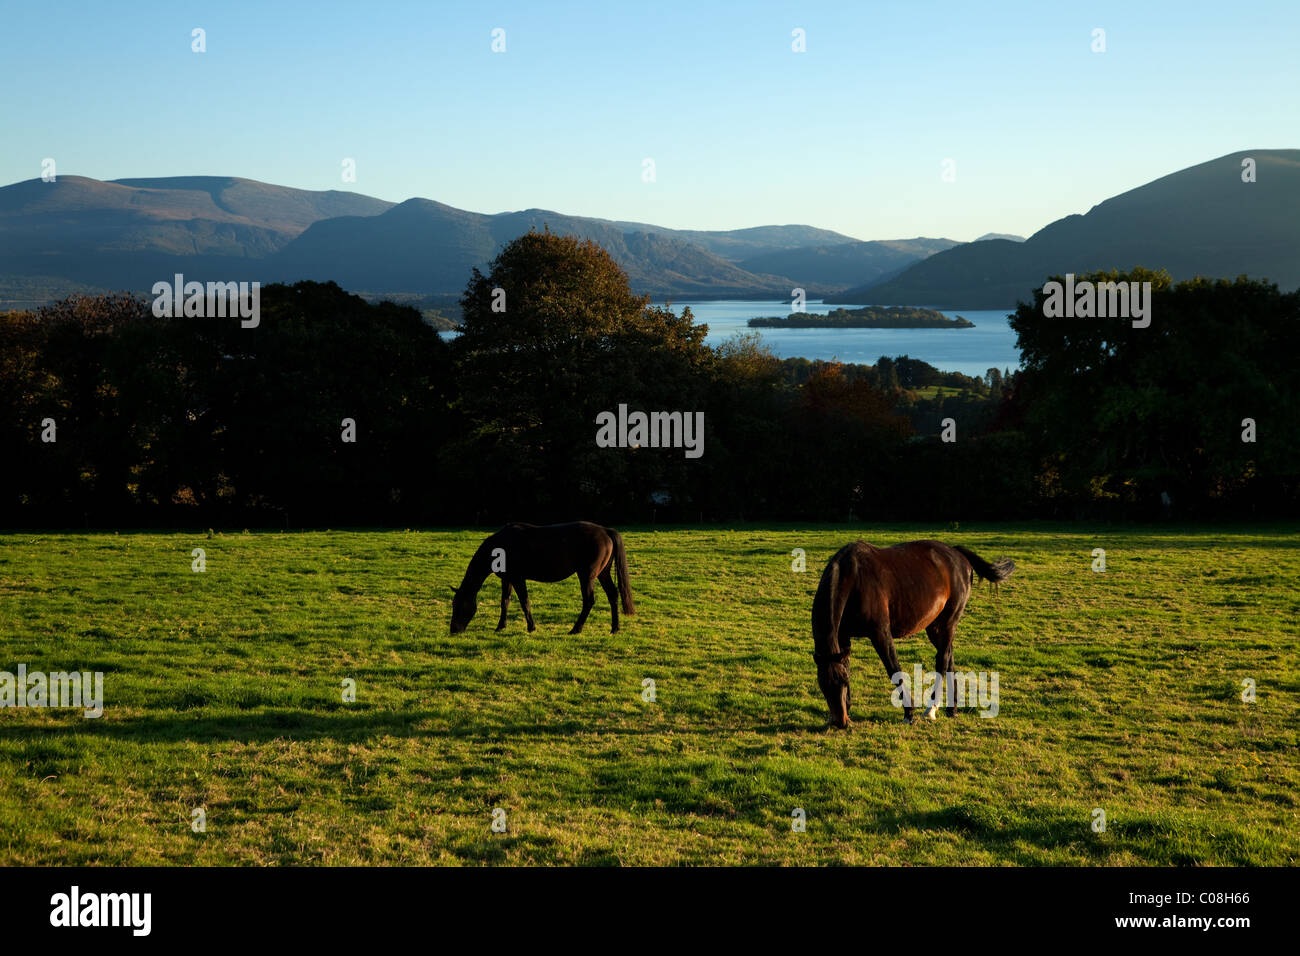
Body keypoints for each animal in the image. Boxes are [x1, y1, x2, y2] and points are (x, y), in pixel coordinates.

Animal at [449, 521, 634, 635]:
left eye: (458, 606)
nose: (453, 630)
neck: (500, 547)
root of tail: (605, 531)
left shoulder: (518, 578)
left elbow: (524, 601)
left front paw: (531, 627)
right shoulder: (507, 579)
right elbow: (505, 601)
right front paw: (501, 626)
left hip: (587, 576)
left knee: (589, 600)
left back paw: (576, 629)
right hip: (603, 574)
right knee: (613, 595)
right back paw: (615, 628)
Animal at [811, 540, 1014, 727]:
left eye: (843, 682)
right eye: (823, 686)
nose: (840, 722)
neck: (854, 578)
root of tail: (957, 553)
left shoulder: (881, 634)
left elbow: (894, 670)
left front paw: (909, 714)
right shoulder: (843, 638)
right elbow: (846, 665)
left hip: (946, 624)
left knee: (942, 661)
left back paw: (931, 709)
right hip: (935, 628)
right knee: (949, 660)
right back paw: (952, 709)